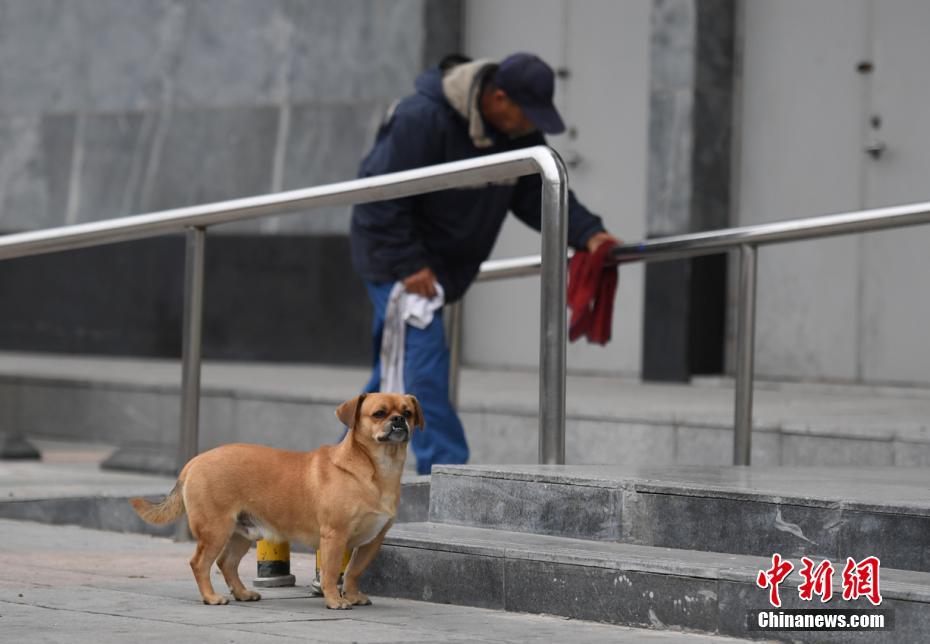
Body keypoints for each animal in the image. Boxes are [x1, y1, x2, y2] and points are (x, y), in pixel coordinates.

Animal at [130, 392, 420, 608]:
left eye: (407, 413)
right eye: (379, 413)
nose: (398, 420)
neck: (378, 469)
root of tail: (194, 461)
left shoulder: (372, 540)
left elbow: (353, 571)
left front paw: (352, 594)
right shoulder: (335, 537)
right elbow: (330, 572)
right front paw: (335, 600)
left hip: (240, 534)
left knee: (226, 563)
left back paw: (242, 593)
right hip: (215, 530)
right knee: (200, 563)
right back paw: (211, 597)